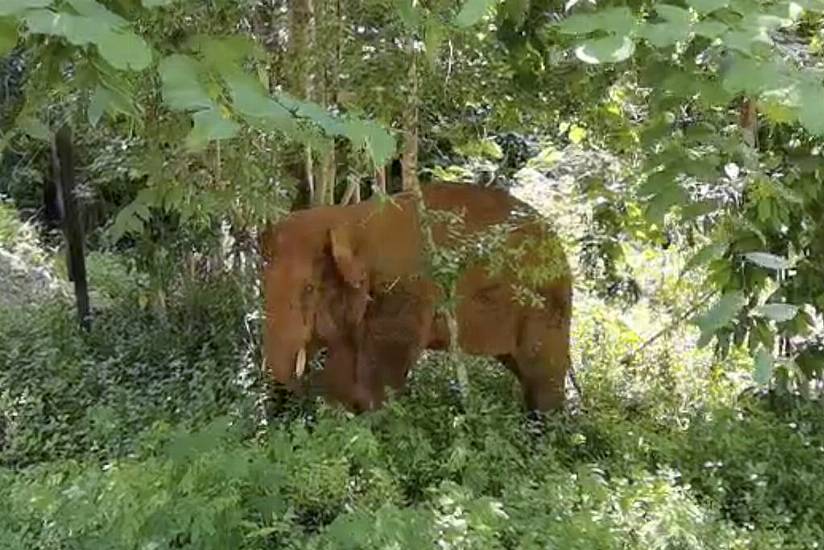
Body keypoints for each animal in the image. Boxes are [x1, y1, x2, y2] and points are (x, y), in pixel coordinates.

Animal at [260, 183, 568, 416]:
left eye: (309, 288)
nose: (297, 395)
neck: (347, 219)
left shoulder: (404, 292)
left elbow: (386, 366)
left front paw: (369, 418)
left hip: (547, 305)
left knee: (541, 372)